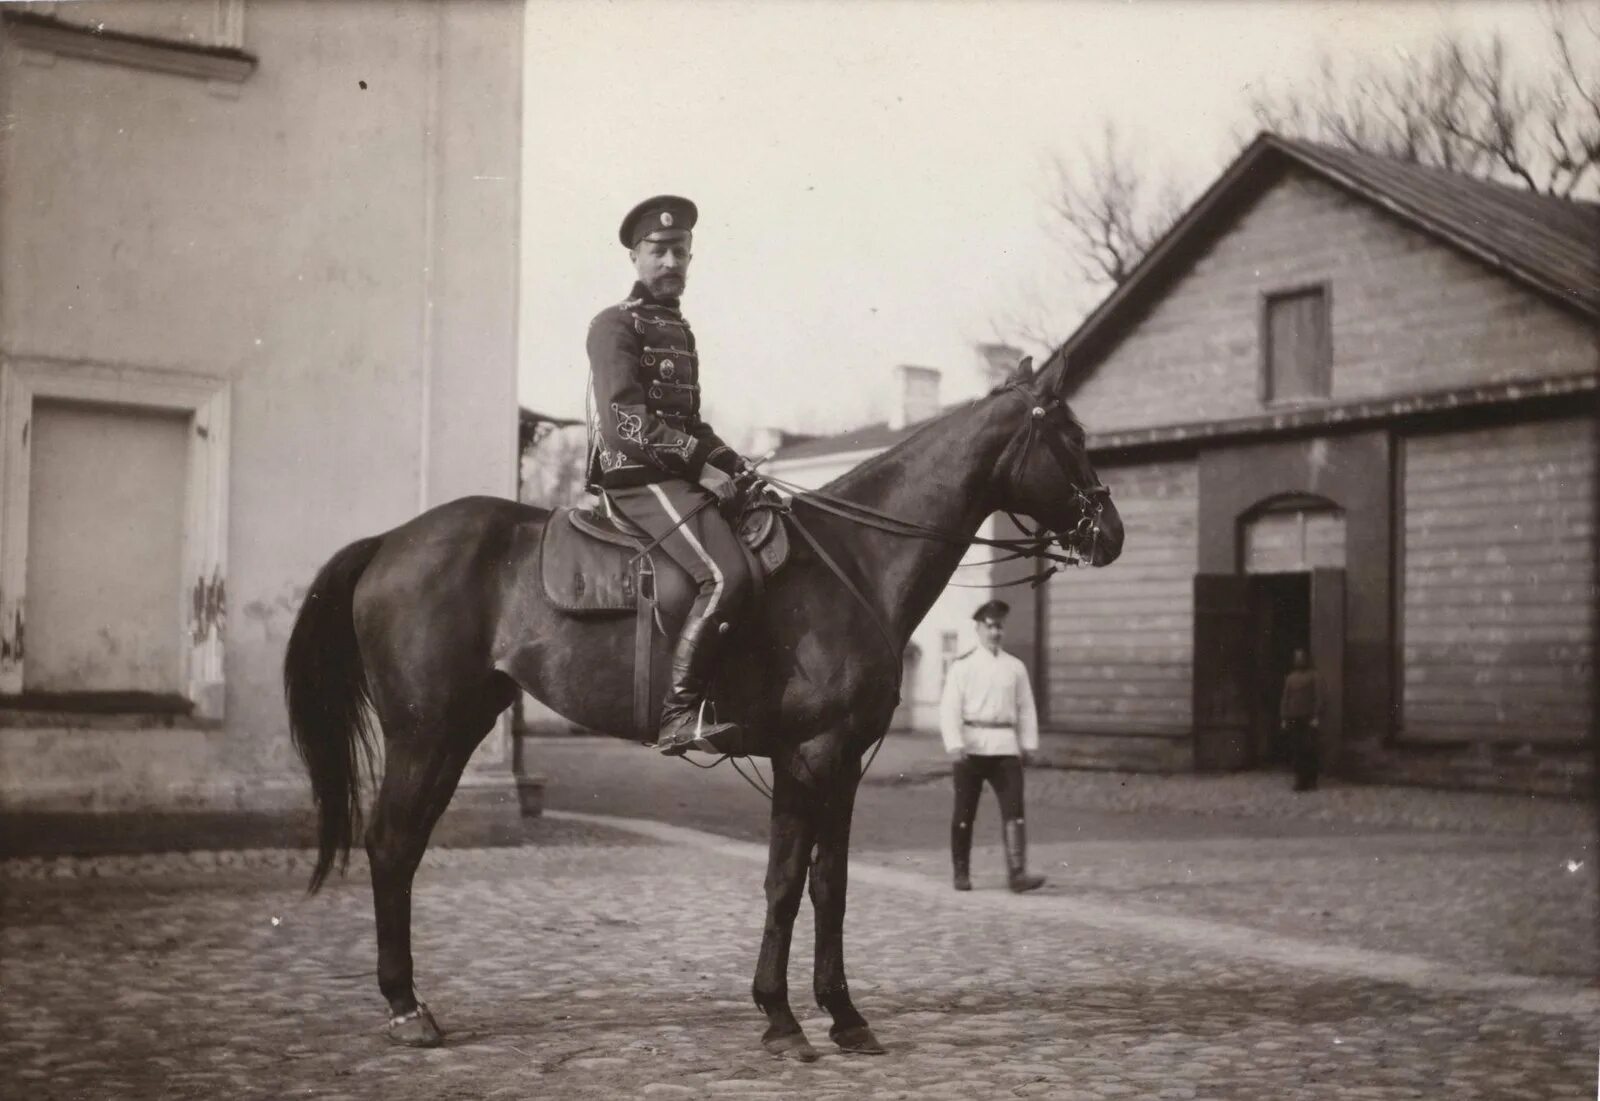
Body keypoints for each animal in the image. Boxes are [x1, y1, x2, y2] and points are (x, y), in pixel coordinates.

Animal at [281, 352, 1120, 1056]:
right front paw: (796, 1016)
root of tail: (391, 540)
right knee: (391, 844)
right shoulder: (817, 754)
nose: (1110, 531)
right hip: (424, 735)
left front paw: (826, 1013)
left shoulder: (828, 761)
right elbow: (797, 882)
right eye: (1072, 436)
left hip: (455, 732)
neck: (852, 562)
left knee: (403, 847)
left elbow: (816, 883)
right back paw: (405, 1009)